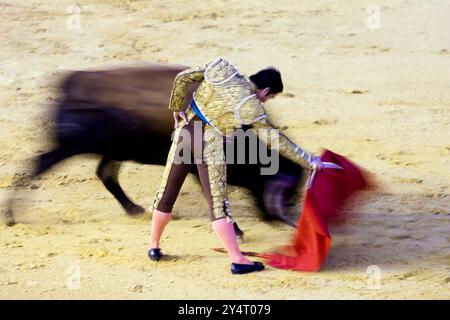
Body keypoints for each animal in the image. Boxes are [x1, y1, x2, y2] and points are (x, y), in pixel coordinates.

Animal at [4, 62, 306, 234]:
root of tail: (69, 82)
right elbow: (213, 195)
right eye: (286, 191)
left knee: (105, 174)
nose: (282, 219)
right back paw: (9, 214)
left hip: (113, 150)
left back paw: (135, 210)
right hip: (68, 146)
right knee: (38, 165)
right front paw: (237, 230)